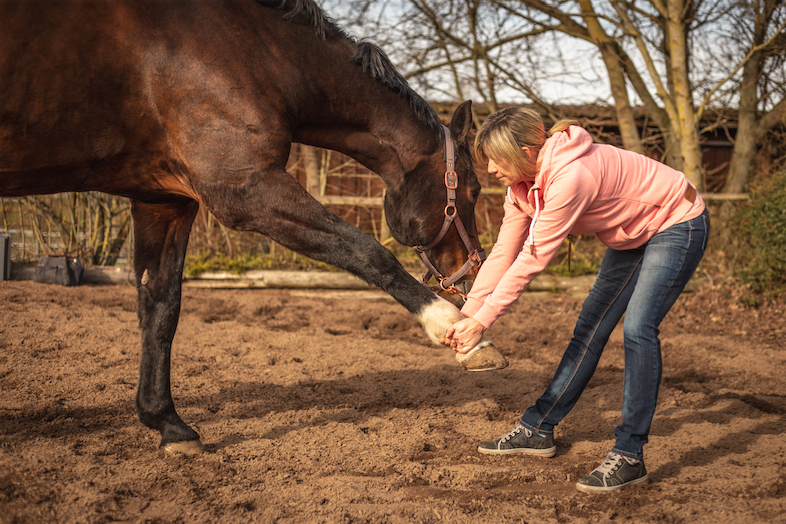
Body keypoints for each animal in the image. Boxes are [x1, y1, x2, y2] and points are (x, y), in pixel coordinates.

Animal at [0, 0, 506, 452]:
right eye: (475, 189)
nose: (472, 270)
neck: (254, 53)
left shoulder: (164, 201)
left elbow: (161, 307)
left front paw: (168, 423)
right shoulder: (245, 190)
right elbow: (368, 252)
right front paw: (460, 333)